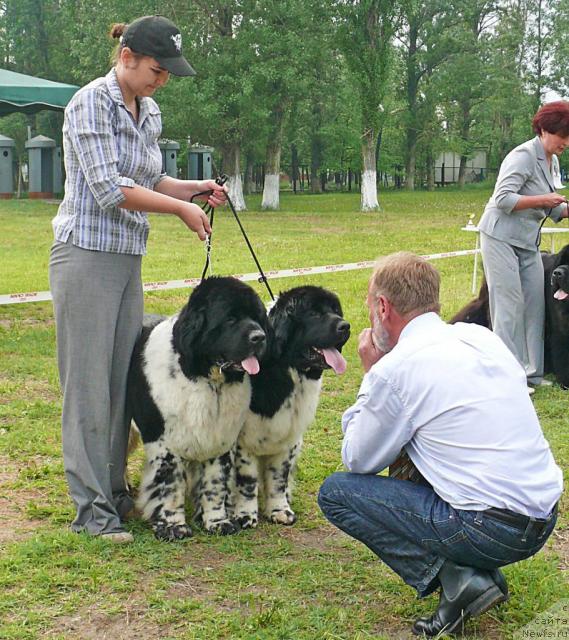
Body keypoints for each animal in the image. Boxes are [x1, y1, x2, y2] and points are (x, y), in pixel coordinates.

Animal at [128, 276, 268, 540]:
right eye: (230, 319)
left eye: (257, 317)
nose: (260, 336)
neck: (207, 380)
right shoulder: (164, 441)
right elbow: (170, 486)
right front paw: (173, 526)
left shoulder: (221, 438)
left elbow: (215, 484)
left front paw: (217, 521)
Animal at [232, 288, 350, 528]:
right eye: (314, 313)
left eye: (335, 311)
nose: (346, 326)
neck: (287, 371)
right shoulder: (242, 440)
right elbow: (247, 481)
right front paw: (245, 515)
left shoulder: (289, 439)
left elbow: (279, 477)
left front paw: (279, 510)